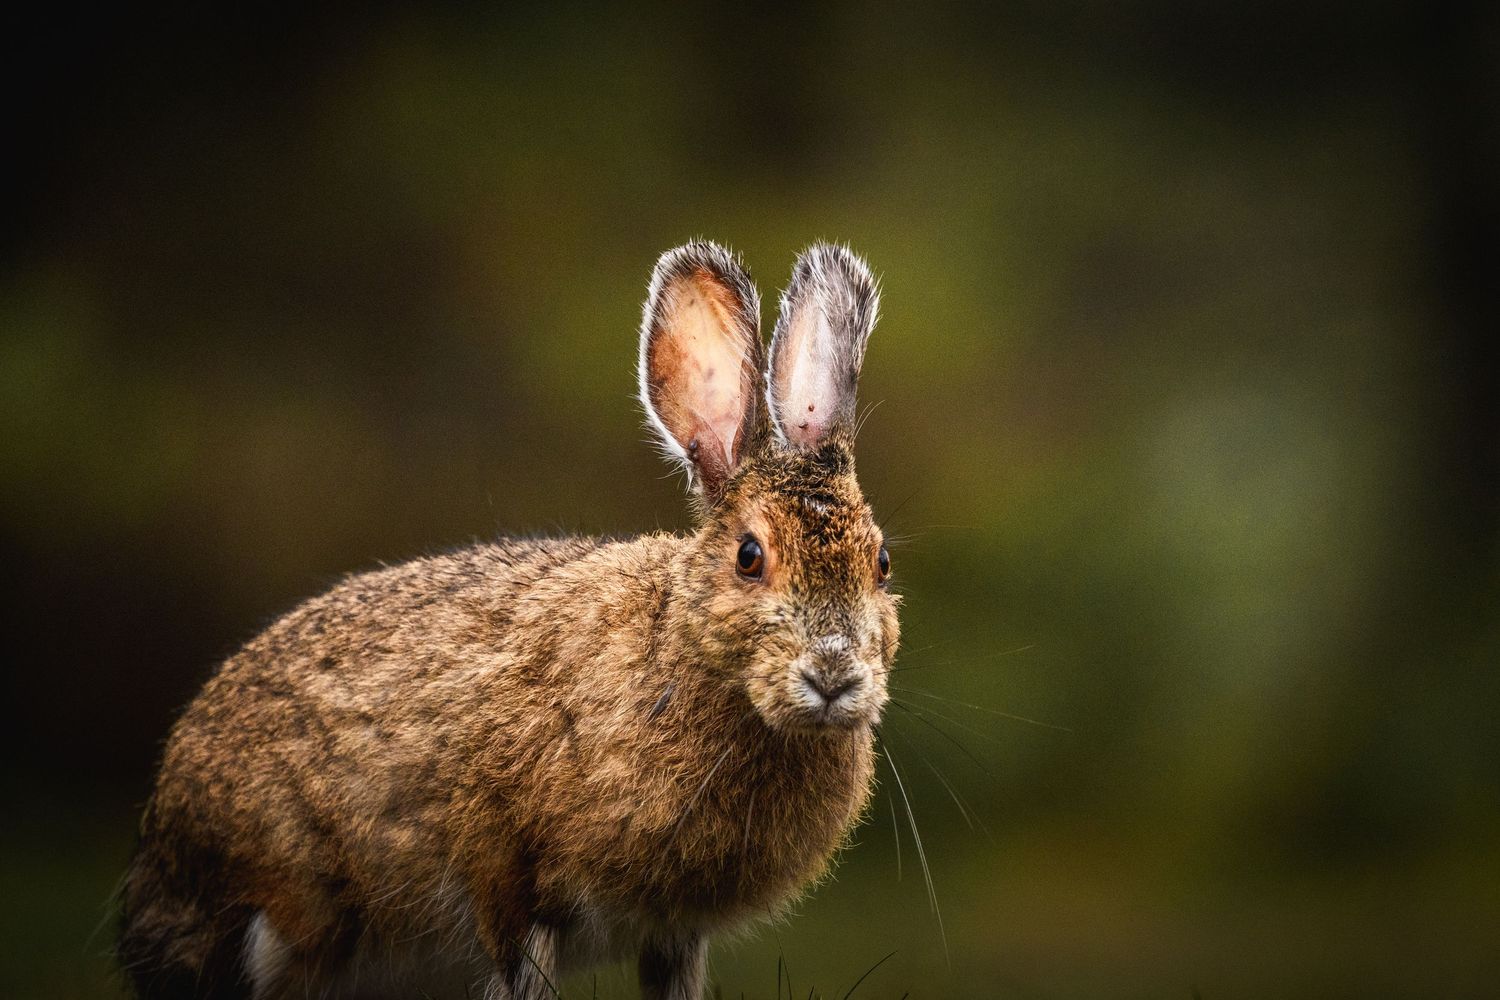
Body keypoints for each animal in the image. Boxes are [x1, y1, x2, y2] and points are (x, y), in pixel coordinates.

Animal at [119, 241, 901, 1000]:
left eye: (883, 562)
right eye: (748, 556)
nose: (833, 674)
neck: (681, 649)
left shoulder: (675, 931)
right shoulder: (511, 881)